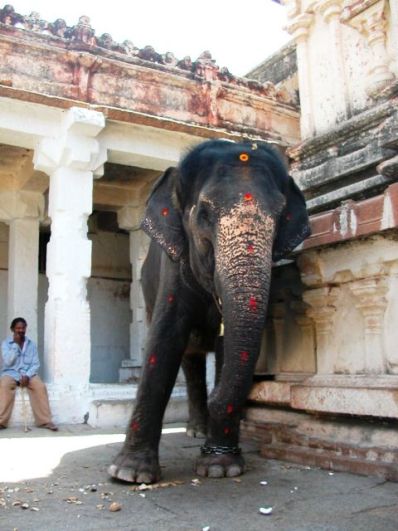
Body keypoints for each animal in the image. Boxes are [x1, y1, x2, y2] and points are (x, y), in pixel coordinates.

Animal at [109, 139, 310, 484]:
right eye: (203, 213)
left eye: (280, 216)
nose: (219, 401)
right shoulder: (173, 265)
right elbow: (164, 340)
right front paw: (129, 474)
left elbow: (230, 347)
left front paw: (220, 467)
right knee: (189, 357)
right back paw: (195, 430)